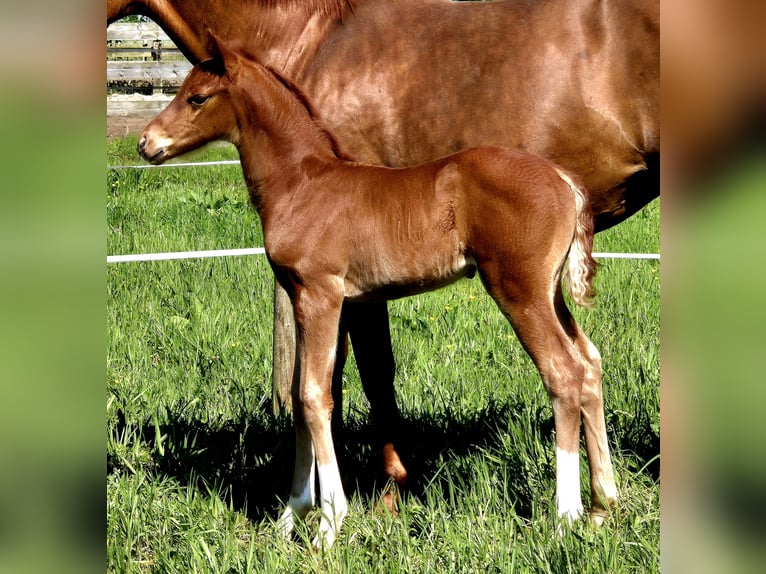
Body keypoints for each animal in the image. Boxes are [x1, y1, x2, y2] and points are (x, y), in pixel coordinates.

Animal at [106, 0, 660, 516]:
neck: (305, 181)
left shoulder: (326, 295)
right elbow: (308, 393)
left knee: (562, 373)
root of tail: (564, 181)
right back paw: (604, 503)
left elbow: (323, 392)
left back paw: (567, 515)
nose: (146, 142)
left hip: (518, 289)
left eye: (197, 97)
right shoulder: (308, 296)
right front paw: (295, 514)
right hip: (549, 292)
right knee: (589, 363)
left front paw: (335, 517)